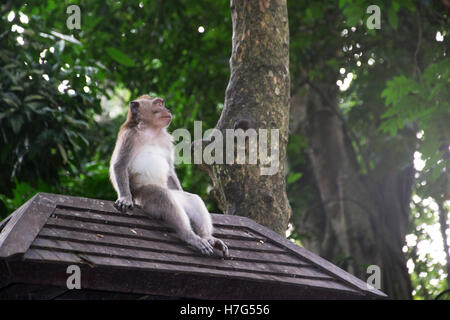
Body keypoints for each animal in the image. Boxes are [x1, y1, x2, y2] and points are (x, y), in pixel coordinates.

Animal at [109, 94, 229, 258]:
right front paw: (125, 198)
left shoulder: (166, 140)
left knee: (192, 199)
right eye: (158, 104)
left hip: (176, 196)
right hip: (142, 198)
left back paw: (208, 238)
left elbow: (170, 170)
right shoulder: (129, 136)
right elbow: (120, 165)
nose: (167, 109)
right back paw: (190, 236)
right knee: (162, 196)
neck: (150, 130)